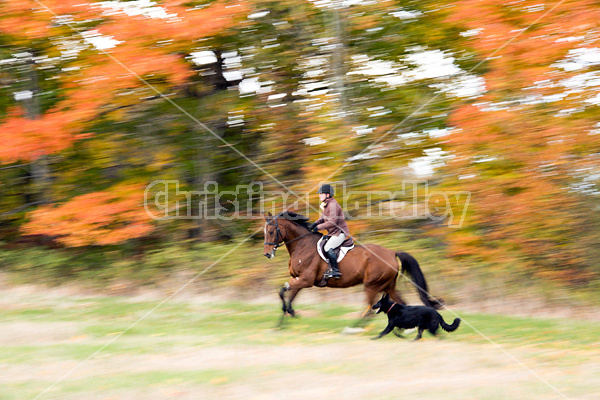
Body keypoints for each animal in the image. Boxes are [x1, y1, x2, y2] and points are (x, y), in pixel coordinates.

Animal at [264, 211, 446, 326]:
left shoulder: (306, 280)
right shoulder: (298, 279)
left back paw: (355, 327)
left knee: (369, 310)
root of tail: (392, 252)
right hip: (388, 286)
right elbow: (287, 295)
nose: (267, 254)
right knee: (401, 303)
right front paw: (283, 321)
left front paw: (286, 317)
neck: (302, 245)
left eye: (272, 231)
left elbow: (284, 293)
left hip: (372, 285)